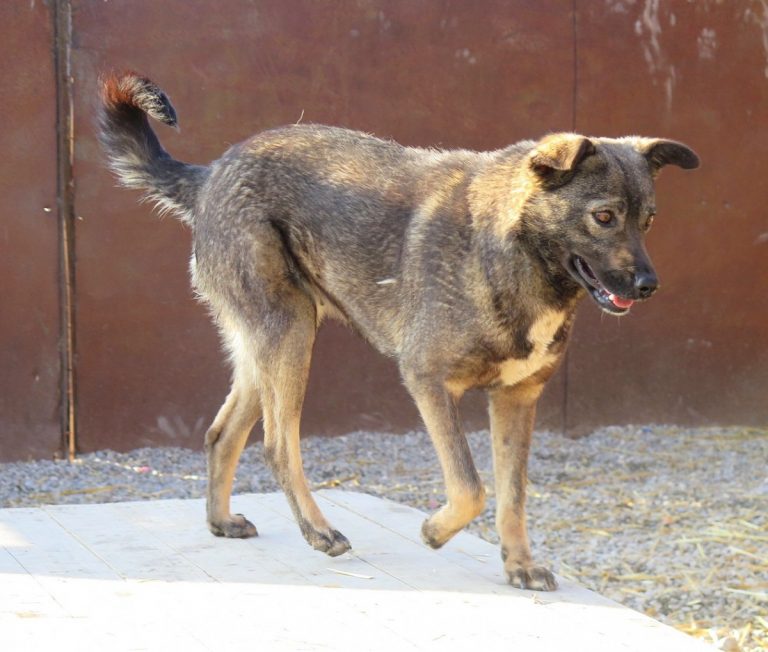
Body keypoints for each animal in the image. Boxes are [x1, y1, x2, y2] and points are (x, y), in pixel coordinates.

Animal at [99, 72, 700, 592]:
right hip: (290, 334)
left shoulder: (517, 400)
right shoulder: (427, 380)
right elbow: (471, 486)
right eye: (604, 217)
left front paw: (520, 564)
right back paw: (318, 531)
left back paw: (221, 521)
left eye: (648, 220)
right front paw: (435, 530)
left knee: (223, 433)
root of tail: (211, 173)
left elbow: (512, 496)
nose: (649, 285)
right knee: (276, 443)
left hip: (267, 346)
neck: (513, 248)